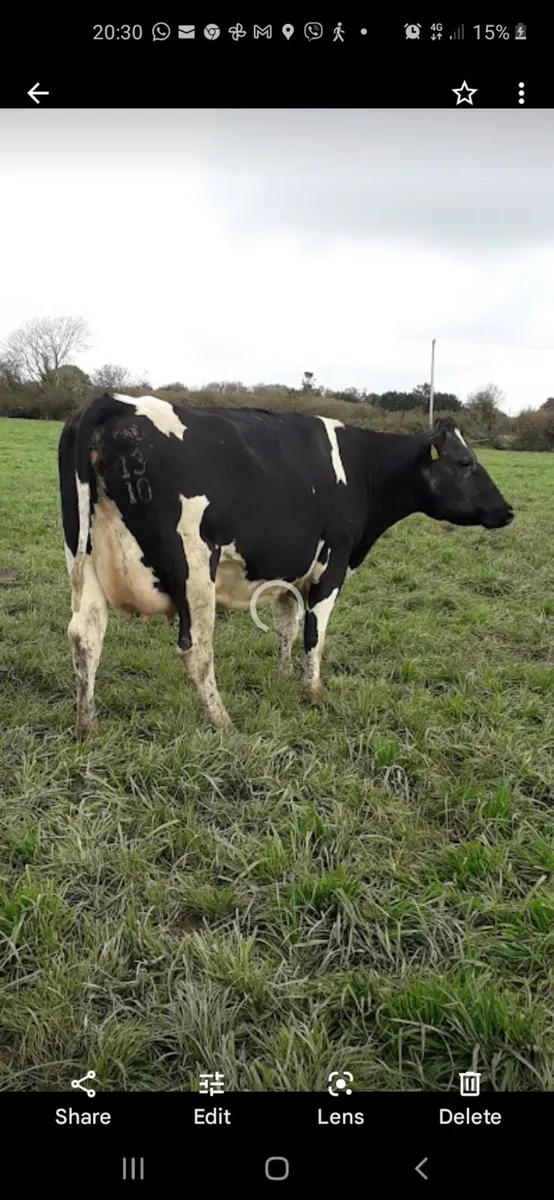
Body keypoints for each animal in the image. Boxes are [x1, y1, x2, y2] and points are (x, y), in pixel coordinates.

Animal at [58, 394, 514, 738]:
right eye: (465, 463)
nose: (508, 510)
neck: (362, 466)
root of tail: (115, 401)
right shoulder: (331, 565)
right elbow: (315, 632)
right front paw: (312, 691)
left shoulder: (289, 573)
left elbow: (286, 628)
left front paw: (281, 675)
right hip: (193, 567)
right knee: (197, 647)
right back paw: (223, 722)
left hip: (83, 559)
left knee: (86, 636)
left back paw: (87, 725)